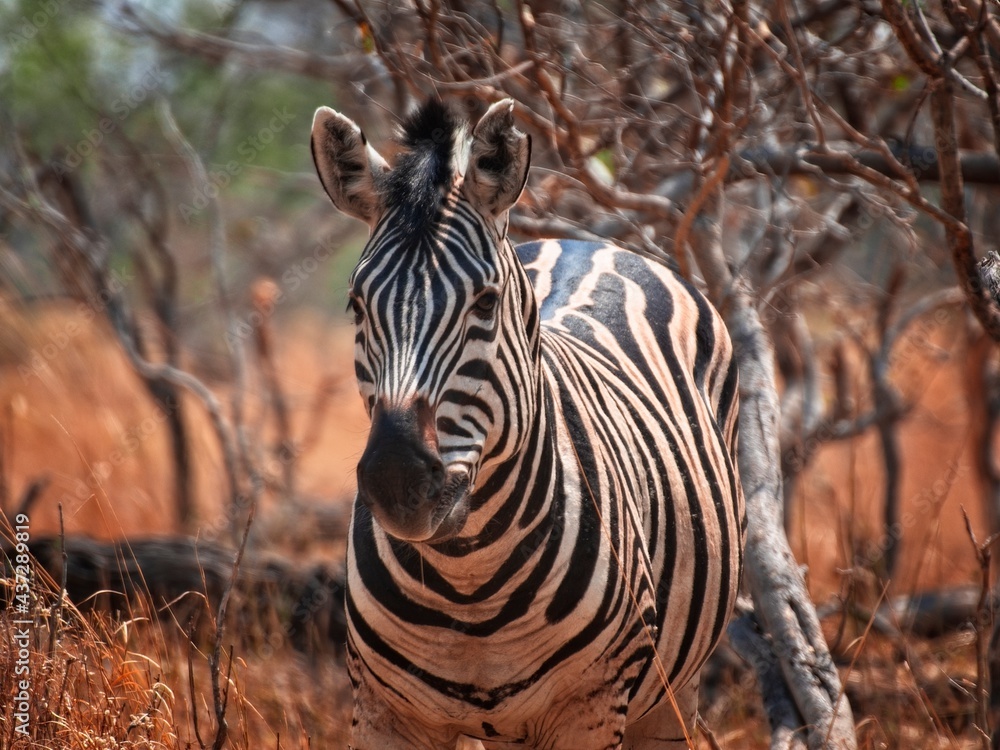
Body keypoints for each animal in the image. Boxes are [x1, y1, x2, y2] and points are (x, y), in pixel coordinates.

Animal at [310, 97, 745, 750]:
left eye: (486, 304)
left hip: (672, 691)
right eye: (357, 306)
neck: (469, 583)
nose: (396, 481)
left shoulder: (592, 708)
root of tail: (583, 243)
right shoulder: (386, 711)